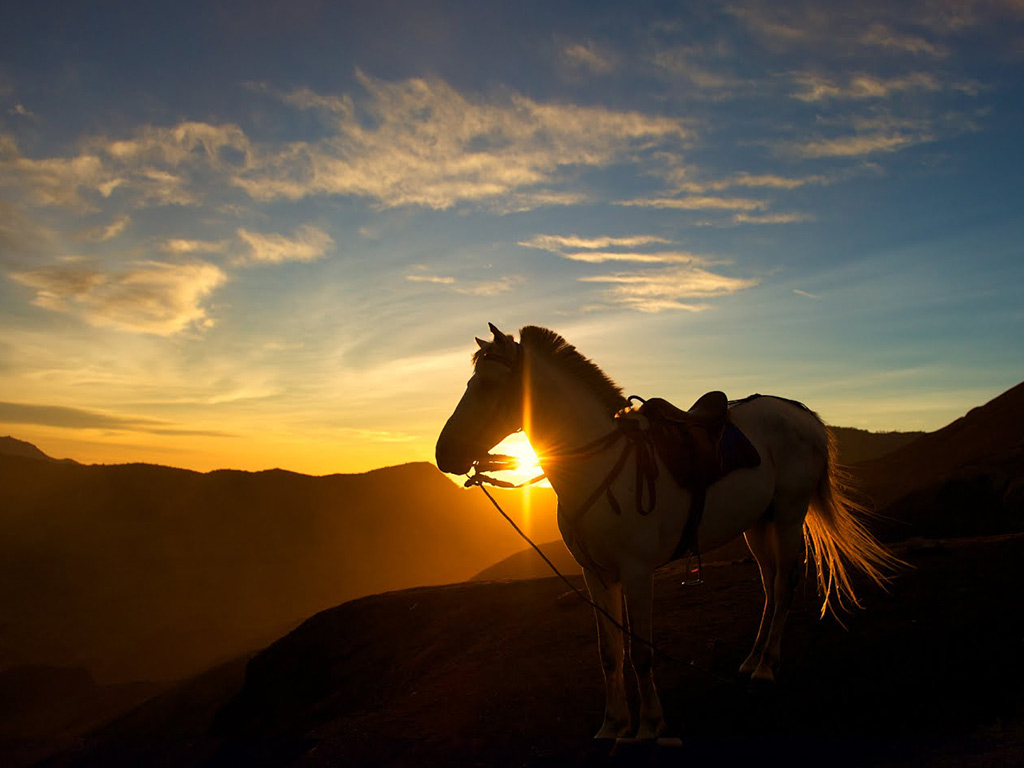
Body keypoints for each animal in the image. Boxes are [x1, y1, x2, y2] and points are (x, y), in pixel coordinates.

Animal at [435, 323, 901, 740]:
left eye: (488, 386)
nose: (444, 453)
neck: (598, 466)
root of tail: (802, 414)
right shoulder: (596, 574)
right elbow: (610, 654)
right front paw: (613, 725)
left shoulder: (638, 573)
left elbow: (640, 652)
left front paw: (650, 725)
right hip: (757, 523)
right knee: (770, 586)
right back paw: (752, 660)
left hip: (788, 515)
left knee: (785, 585)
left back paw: (767, 668)